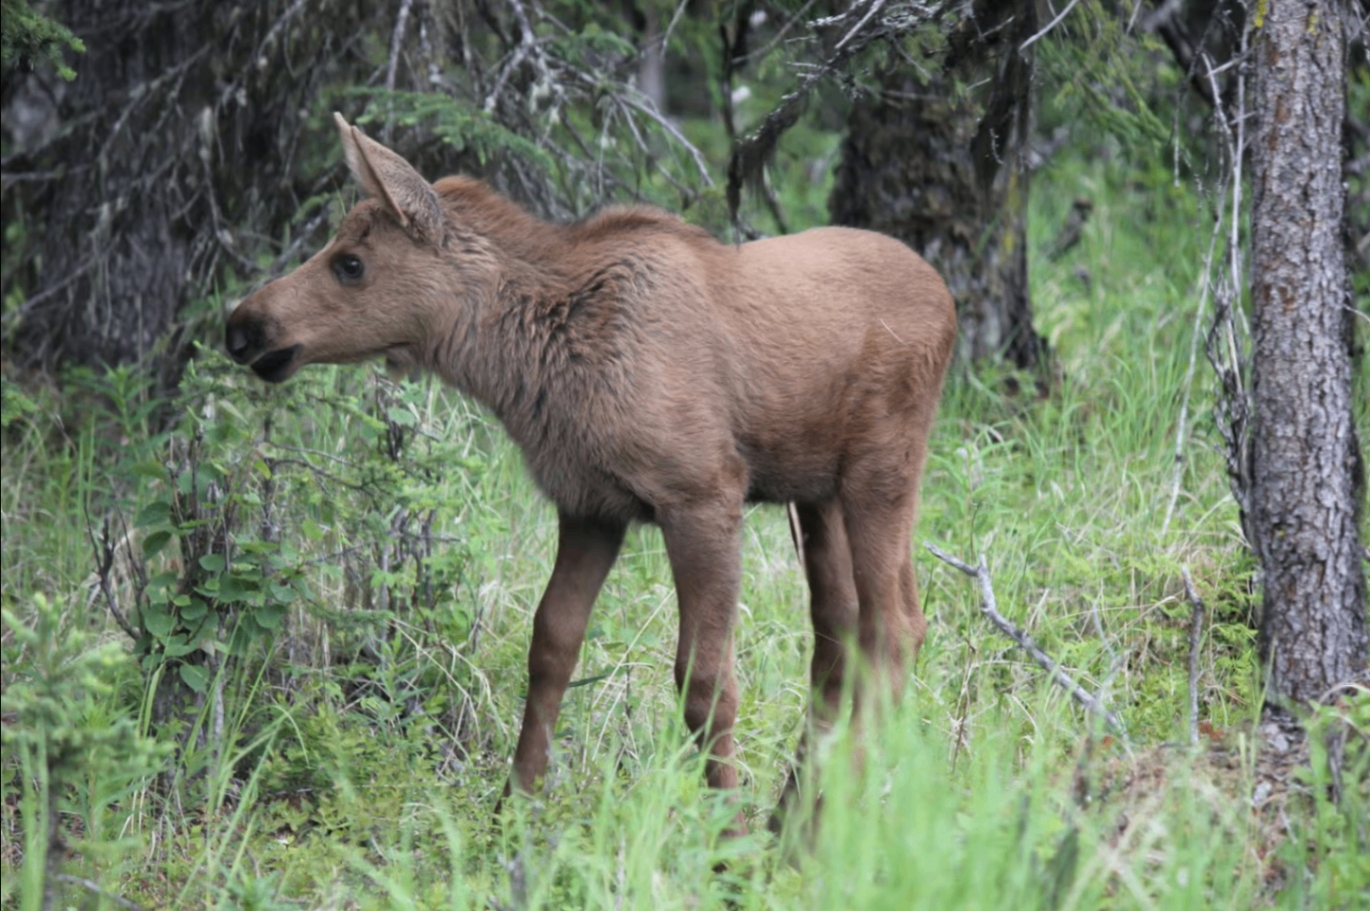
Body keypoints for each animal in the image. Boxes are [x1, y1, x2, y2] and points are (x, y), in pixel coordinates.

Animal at [226, 114, 956, 832]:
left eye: (350, 263)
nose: (242, 325)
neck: (535, 365)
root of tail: (949, 301)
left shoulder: (703, 493)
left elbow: (704, 681)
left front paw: (728, 839)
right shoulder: (589, 506)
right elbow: (550, 647)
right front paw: (512, 816)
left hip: (883, 467)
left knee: (894, 627)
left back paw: (816, 823)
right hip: (817, 492)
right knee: (843, 633)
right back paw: (793, 818)